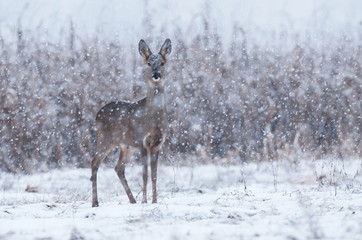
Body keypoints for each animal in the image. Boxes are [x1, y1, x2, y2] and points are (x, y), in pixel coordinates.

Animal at [90, 39, 170, 206]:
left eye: (162, 62)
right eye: (148, 63)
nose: (156, 74)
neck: (154, 121)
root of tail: (98, 114)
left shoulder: (159, 143)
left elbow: (154, 174)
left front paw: (154, 201)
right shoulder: (142, 140)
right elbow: (145, 174)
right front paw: (145, 201)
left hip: (125, 146)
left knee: (118, 168)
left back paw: (132, 200)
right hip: (105, 138)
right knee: (94, 162)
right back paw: (95, 202)